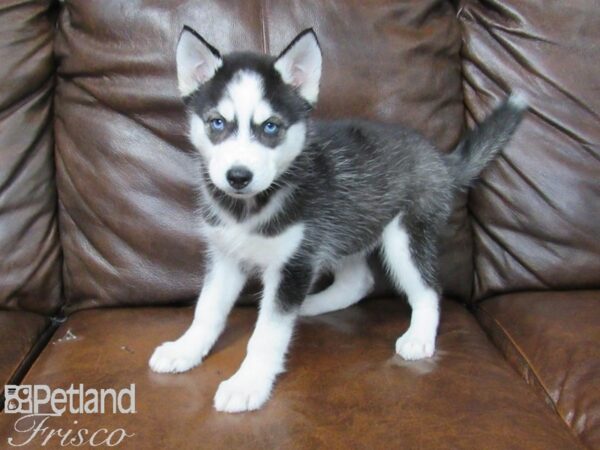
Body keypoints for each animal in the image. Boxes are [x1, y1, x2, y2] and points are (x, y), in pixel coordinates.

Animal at [149, 23, 524, 412]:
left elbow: (268, 332)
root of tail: (439, 157)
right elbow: (207, 309)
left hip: (404, 235)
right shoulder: (226, 256)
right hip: (346, 227)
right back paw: (312, 305)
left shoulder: (294, 266)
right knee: (359, 281)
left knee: (428, 289)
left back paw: (419, 336)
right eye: (217, 123)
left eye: (270, 127)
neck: (249, 208)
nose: (238, 176)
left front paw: (248, 382)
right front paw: (185, 349)